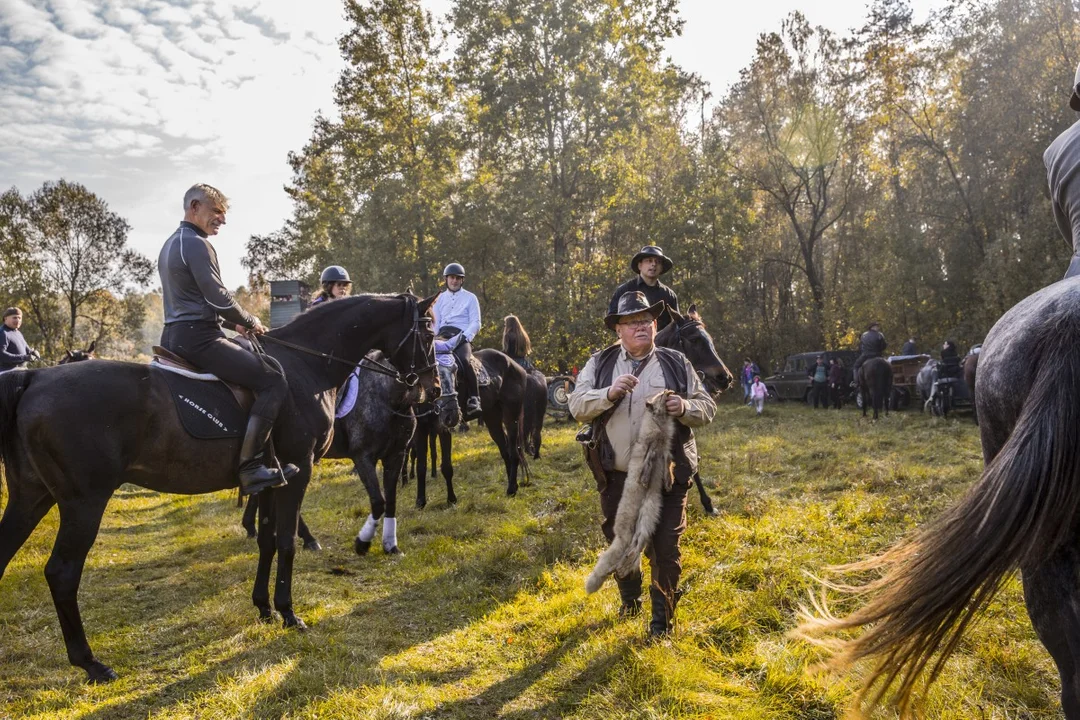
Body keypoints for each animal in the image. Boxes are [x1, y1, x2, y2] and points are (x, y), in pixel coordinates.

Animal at [1, 291, 438, 682]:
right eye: (429, 332)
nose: (431, 388)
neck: (306, 366)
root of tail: (34, 379)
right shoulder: (301, 471)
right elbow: (286, 542)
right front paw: (289, 613)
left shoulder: (272, 478)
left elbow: (266, 539)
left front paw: (264, 608)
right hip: (83, 502)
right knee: (62, 572)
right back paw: (91, 663)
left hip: (31, 496)